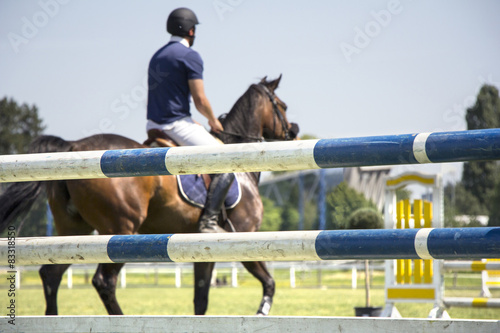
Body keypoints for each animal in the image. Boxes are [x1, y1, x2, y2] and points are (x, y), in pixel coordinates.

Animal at [0, 74, 296, 314]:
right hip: (121, 231)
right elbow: (270, 283)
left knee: (51, 275)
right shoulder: (246, 238)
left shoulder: (202, 249)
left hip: (73, 233)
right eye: (282, 105)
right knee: (103, 281)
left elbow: (200, 300)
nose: (294, 131)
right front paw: (261, 313)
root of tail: (73, 147)